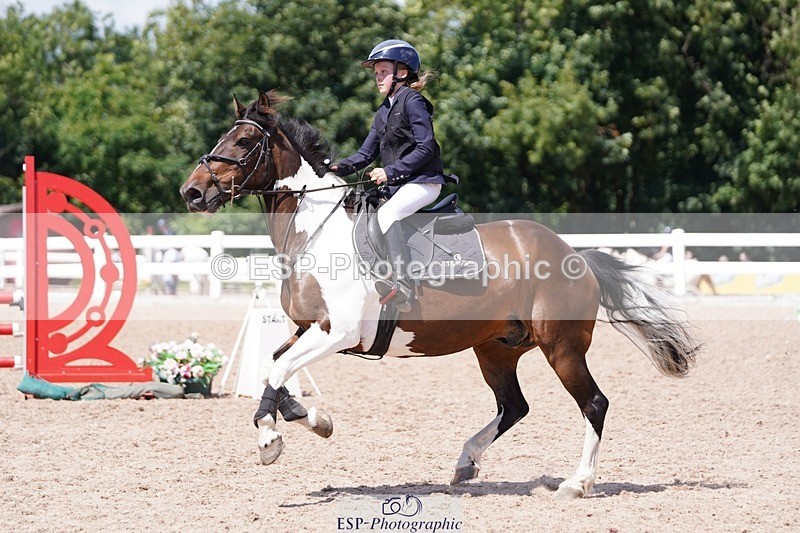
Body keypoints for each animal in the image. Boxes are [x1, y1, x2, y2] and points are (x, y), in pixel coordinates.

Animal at [180, 90, 699, 499]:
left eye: (243, 142)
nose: (191, 193)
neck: (318, 233)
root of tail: (575, 254)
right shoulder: (310, 329)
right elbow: (276, 367)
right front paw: (302, 422)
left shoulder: (338, 332)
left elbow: (280, 370)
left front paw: (276, 439)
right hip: (496, 348)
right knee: (514, 406)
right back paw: (467, 462)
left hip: (562, 348)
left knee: (593, 404)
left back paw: (577, 483)